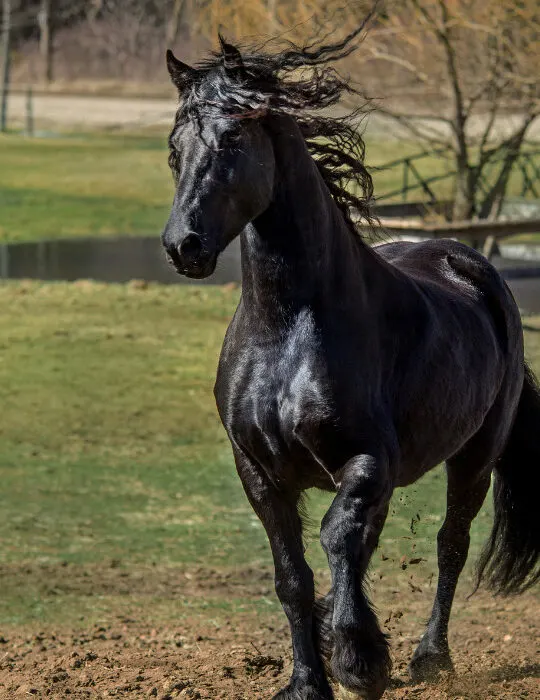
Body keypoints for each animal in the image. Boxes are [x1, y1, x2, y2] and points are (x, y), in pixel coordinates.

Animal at [160, 26, 540, 700]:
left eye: (231, 139)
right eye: (174, 148)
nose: (184, 246)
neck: (288, 333)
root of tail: (471, 264)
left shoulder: (366, 461)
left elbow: (337, 538)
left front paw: (361, 661)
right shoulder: (259, 473)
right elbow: (293, 575)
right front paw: (309, 680)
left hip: (475, 457)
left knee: (450, 543)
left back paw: (428, 657)